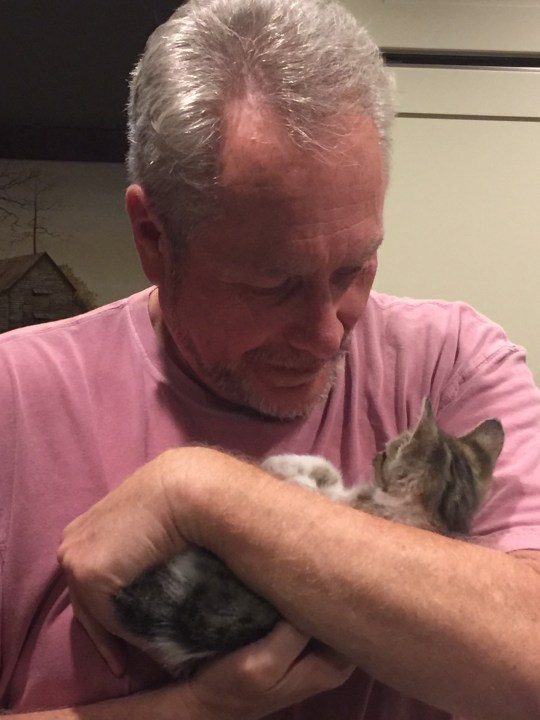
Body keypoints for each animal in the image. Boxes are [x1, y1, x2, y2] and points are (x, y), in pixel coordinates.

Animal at [113, 400, 502, 676]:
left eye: (389, 451)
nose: (377, 452)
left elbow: (318, 494)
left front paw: (290, 475)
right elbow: (327, 470)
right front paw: (288, 463)